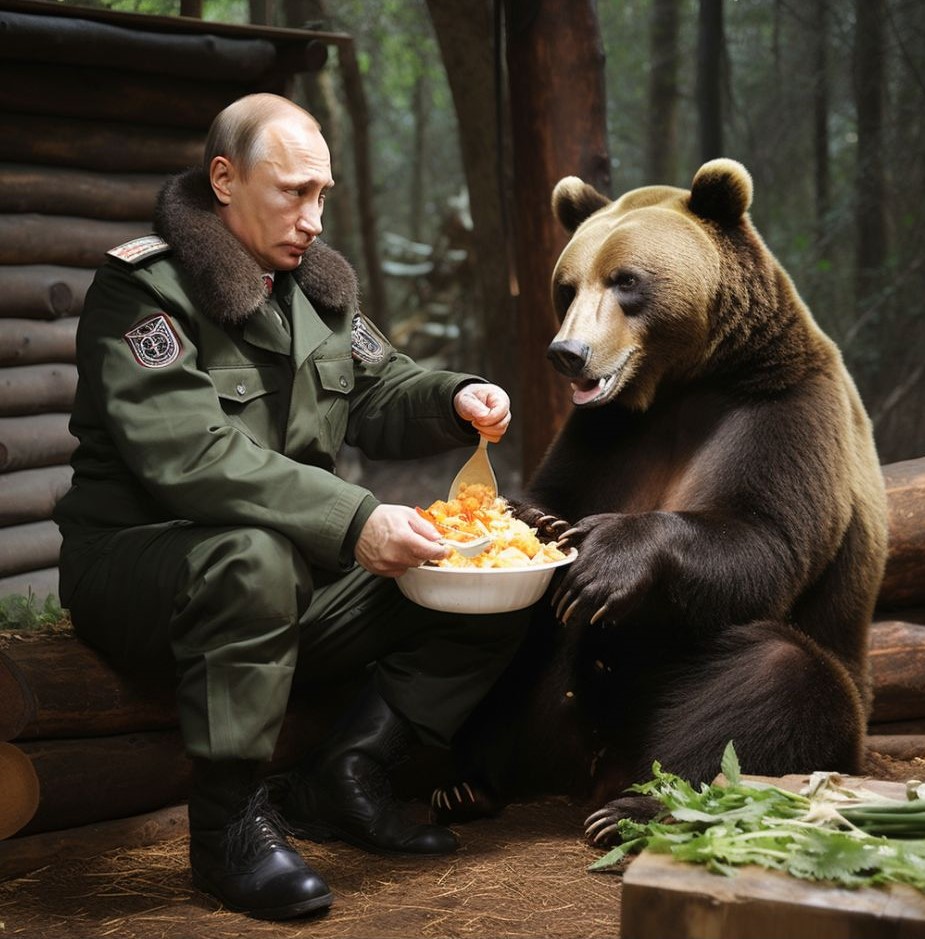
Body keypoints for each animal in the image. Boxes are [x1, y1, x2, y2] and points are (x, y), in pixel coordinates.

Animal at [432, 158, 890, 848]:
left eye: (626, 281)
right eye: (567, 286)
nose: (568, 353)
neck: (678, 384)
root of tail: (586, 770)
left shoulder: (782, 408)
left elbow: (762, 537)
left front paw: (601, 560)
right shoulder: (604, 435)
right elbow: (553, 495)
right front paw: (538, 521)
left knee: (776, 687)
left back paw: (638, 806)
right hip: (548, 704)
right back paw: (465, 782)